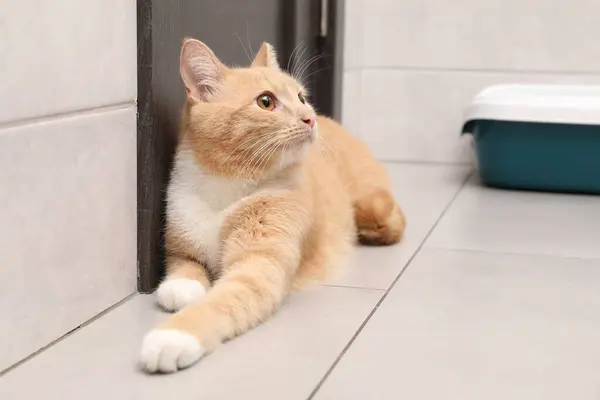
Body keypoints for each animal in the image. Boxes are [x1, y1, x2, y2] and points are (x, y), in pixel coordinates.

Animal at [138, 39, 406, 374]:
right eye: (266, 102)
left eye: (301, 97)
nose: (309, 117)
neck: (227, 187)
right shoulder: (180, 246)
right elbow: (184, 267)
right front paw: (181, 288)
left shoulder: (258, 268)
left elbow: (221, 303)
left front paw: (175, 336)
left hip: (371, 203)